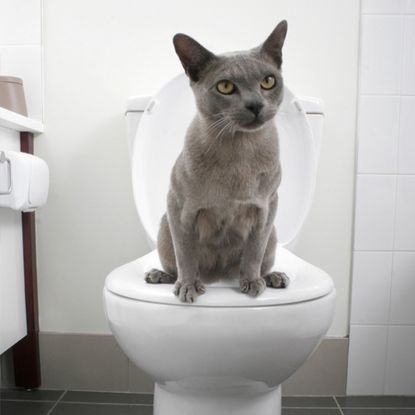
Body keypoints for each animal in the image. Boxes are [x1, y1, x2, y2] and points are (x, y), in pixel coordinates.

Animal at [145, 21, 290, 304]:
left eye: (268, 81)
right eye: (225, 87)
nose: (255, 104)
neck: (240, 153)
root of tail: (219, 278)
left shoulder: (267, 207)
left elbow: (253, 253)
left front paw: (252, 283)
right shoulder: (180, 207)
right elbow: (186, 256)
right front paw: (188, 287)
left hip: (273, 234)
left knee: (259, 261)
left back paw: (272, 278)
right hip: (165, 227)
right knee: (175, 265)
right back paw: (161, 276)